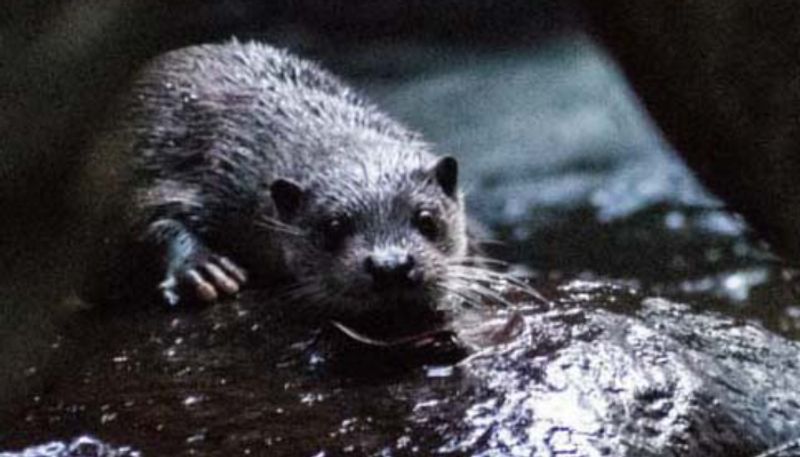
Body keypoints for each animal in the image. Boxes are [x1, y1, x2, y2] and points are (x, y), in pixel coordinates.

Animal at [83, 41, 512, 334]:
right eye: (333, 227)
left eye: (426, 220)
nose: (391, 265)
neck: (246, 140)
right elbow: (140, 219)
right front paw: (203, 268)